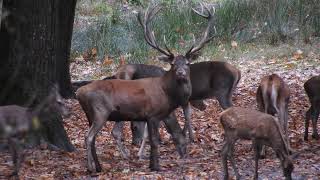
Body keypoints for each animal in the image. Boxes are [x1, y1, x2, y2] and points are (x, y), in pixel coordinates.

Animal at [76, 4, 215, 172]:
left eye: (187, 63)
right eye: (173, 64)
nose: (181, 72)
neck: (167, 94)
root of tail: (78, 92)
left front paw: (150, 163)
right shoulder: (153, 114)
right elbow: (153, 140)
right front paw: (156, 166)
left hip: (90, 115)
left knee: (94, 137)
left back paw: (98, 166)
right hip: (100, 112)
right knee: (89, 137)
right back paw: (92, 167)